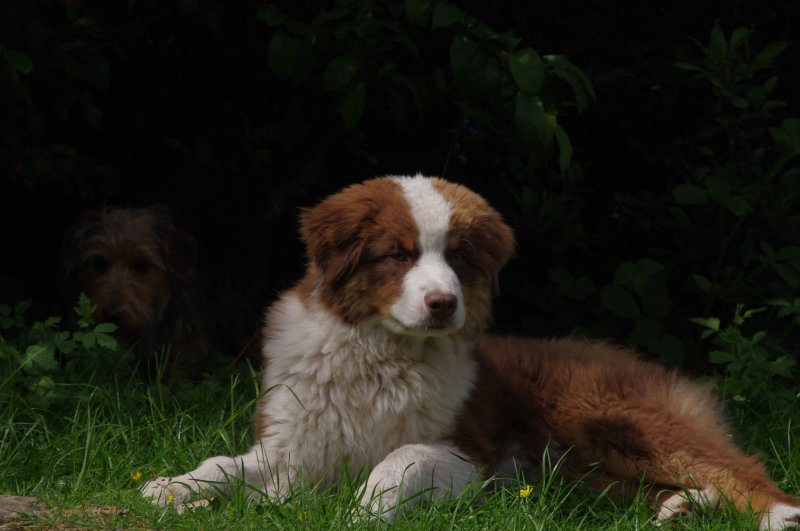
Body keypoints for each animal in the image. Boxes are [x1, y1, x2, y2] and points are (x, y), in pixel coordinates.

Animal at [141, 177, 796, 528]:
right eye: (397, 254)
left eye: (458, 256)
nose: (442, 303)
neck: (381, 355)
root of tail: (634, 359)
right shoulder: (297, 442)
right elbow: (226, 464)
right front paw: (171, 487)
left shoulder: (470, 454)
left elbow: (398, 458)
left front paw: (358, 513)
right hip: (581, 466)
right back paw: (682, 509)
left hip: (611, 417)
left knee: (740, 469)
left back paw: (775, 514)